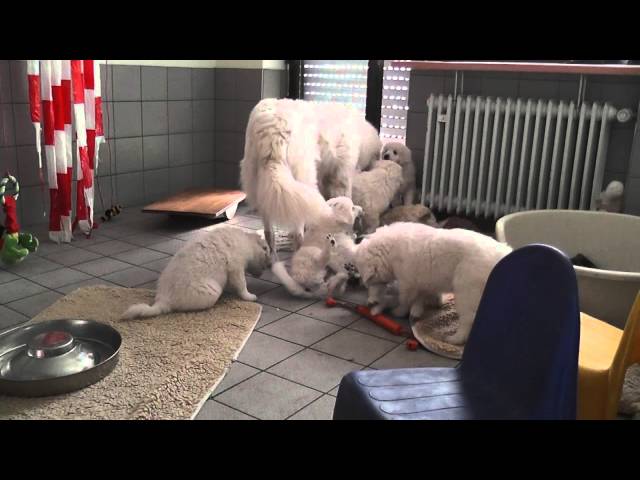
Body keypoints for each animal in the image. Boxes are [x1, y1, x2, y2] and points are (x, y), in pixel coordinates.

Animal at [121, 226, 271, 319]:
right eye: (267, 254)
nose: (269, 266)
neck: (247, 241)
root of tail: (163, 300)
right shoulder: (235, 267)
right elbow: (241, 284)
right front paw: (249, 296)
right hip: (212, 291)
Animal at [240, 99, 381, 253]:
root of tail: (273, 129)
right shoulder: (341, 175)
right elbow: (346, 200)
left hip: (259, 182)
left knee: (269, 231)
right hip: (303, 179)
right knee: (298, 228)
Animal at [355, 222, 511, 345]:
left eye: (370, 281)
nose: (370, 302)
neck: (389, 249)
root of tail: (501, 256)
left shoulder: (407, 281)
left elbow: (405, 298)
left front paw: (399, 311)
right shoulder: (424, 278)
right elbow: (423, 294)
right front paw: (429, 305)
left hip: (467, 289)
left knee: (468, 318)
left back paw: (455, 339)